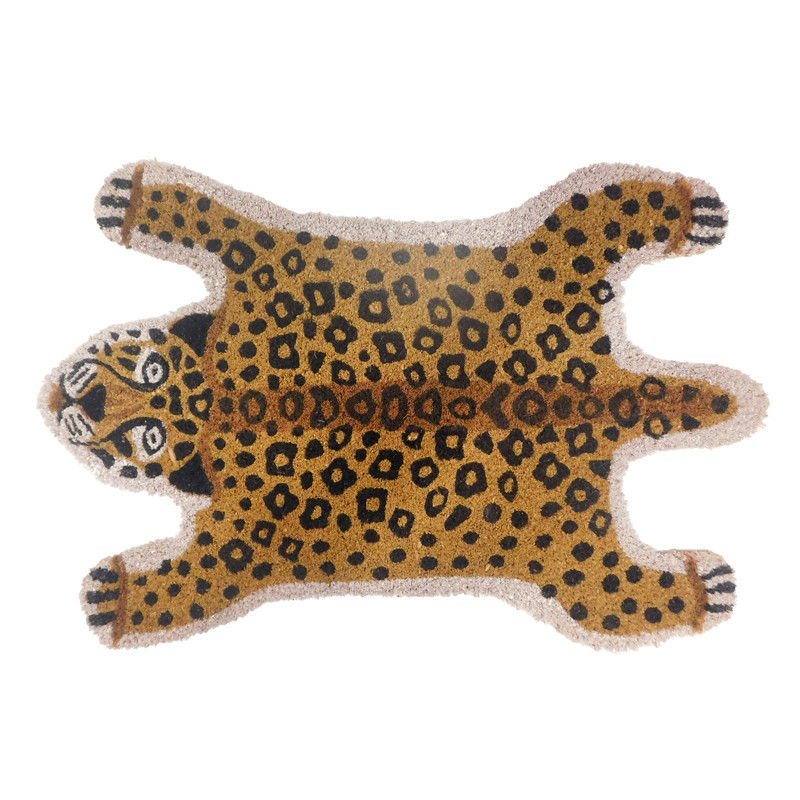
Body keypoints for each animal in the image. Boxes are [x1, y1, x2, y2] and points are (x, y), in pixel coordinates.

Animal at [40, 160, 767, 649]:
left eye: (146, 430)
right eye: (145, 385)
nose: (78, 395)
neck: (216, 400)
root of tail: (617, 384)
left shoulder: (252, 264)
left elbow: (213, 218)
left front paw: (115, 599)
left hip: (559, 245)